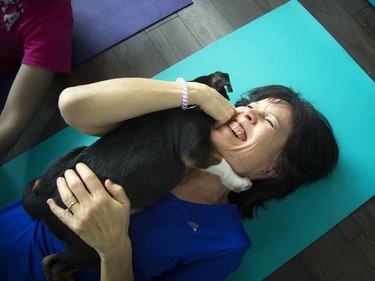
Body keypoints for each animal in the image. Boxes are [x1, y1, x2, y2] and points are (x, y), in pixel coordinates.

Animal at [23, 70, 253, 280]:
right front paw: (241, 182)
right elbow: (222, 164)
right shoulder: (196, 151)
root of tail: (46, 202)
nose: (235, 110)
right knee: (52, 263)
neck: (193, 107)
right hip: (86, 249)